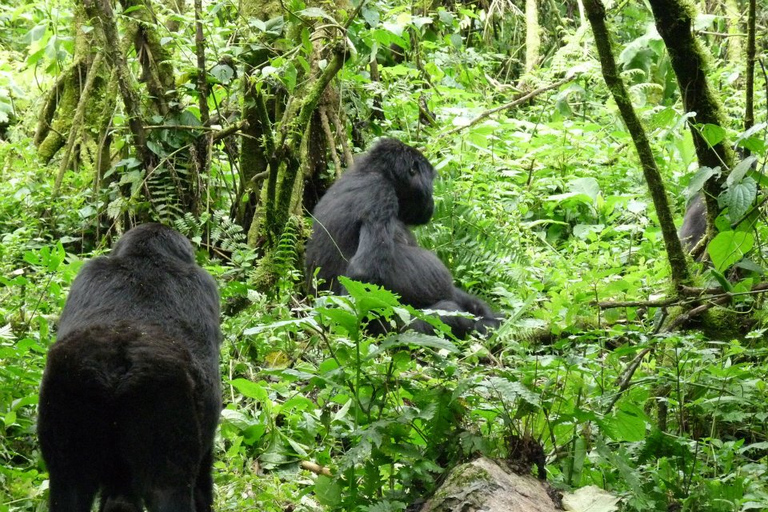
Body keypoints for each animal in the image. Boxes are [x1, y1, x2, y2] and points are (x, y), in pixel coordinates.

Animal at [38, 223, 222, 512]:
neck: (145, 256)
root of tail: (118, 360)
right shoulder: (204, 283)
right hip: (161, 395)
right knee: (168, 490)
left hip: (67, 387)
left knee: (69, 488)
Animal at [308, 136, 504, 338]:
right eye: (431, 180)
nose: (432, 199)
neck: (374, 171)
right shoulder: (380, 194)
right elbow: (363, 274)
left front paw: (486, 315)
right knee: (449, 312)